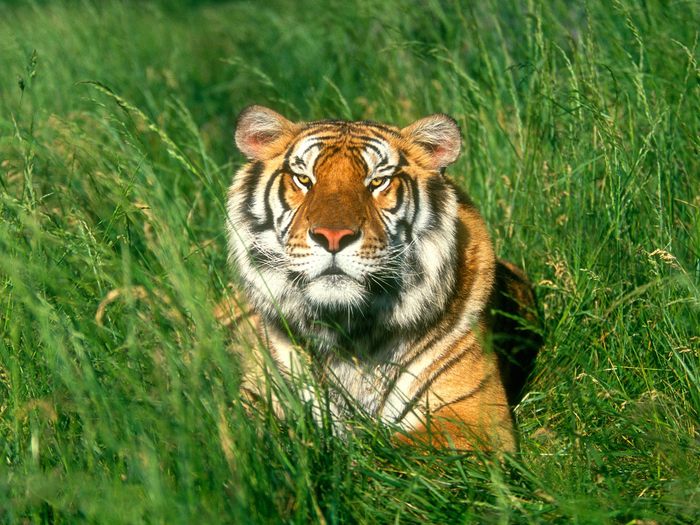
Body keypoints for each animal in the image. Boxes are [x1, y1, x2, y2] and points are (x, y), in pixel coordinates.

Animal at [226, 105, 540, 450]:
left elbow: (386, 453)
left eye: (377, 182)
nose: (333, 237)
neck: (347, 331)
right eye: (304, 179)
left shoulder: (473, 418)